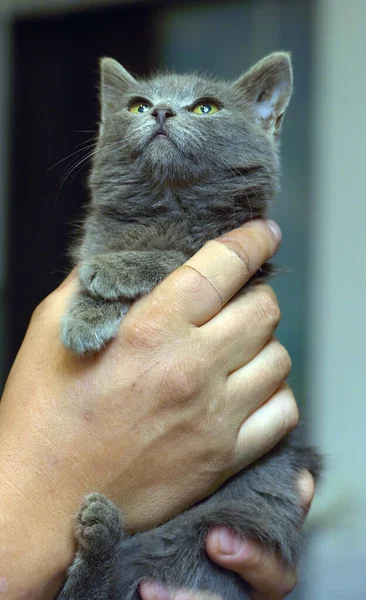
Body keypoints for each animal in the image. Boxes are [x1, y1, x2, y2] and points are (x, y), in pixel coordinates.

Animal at [57, 54, 320, 596]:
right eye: (138, 105)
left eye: (206, 107)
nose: (160, 111)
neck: (168, 203)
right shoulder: (98, 235)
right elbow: (98, 256)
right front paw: (84, 314)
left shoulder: (245, 273)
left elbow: (178, 258)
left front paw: (115, 272)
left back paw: (100, 537)